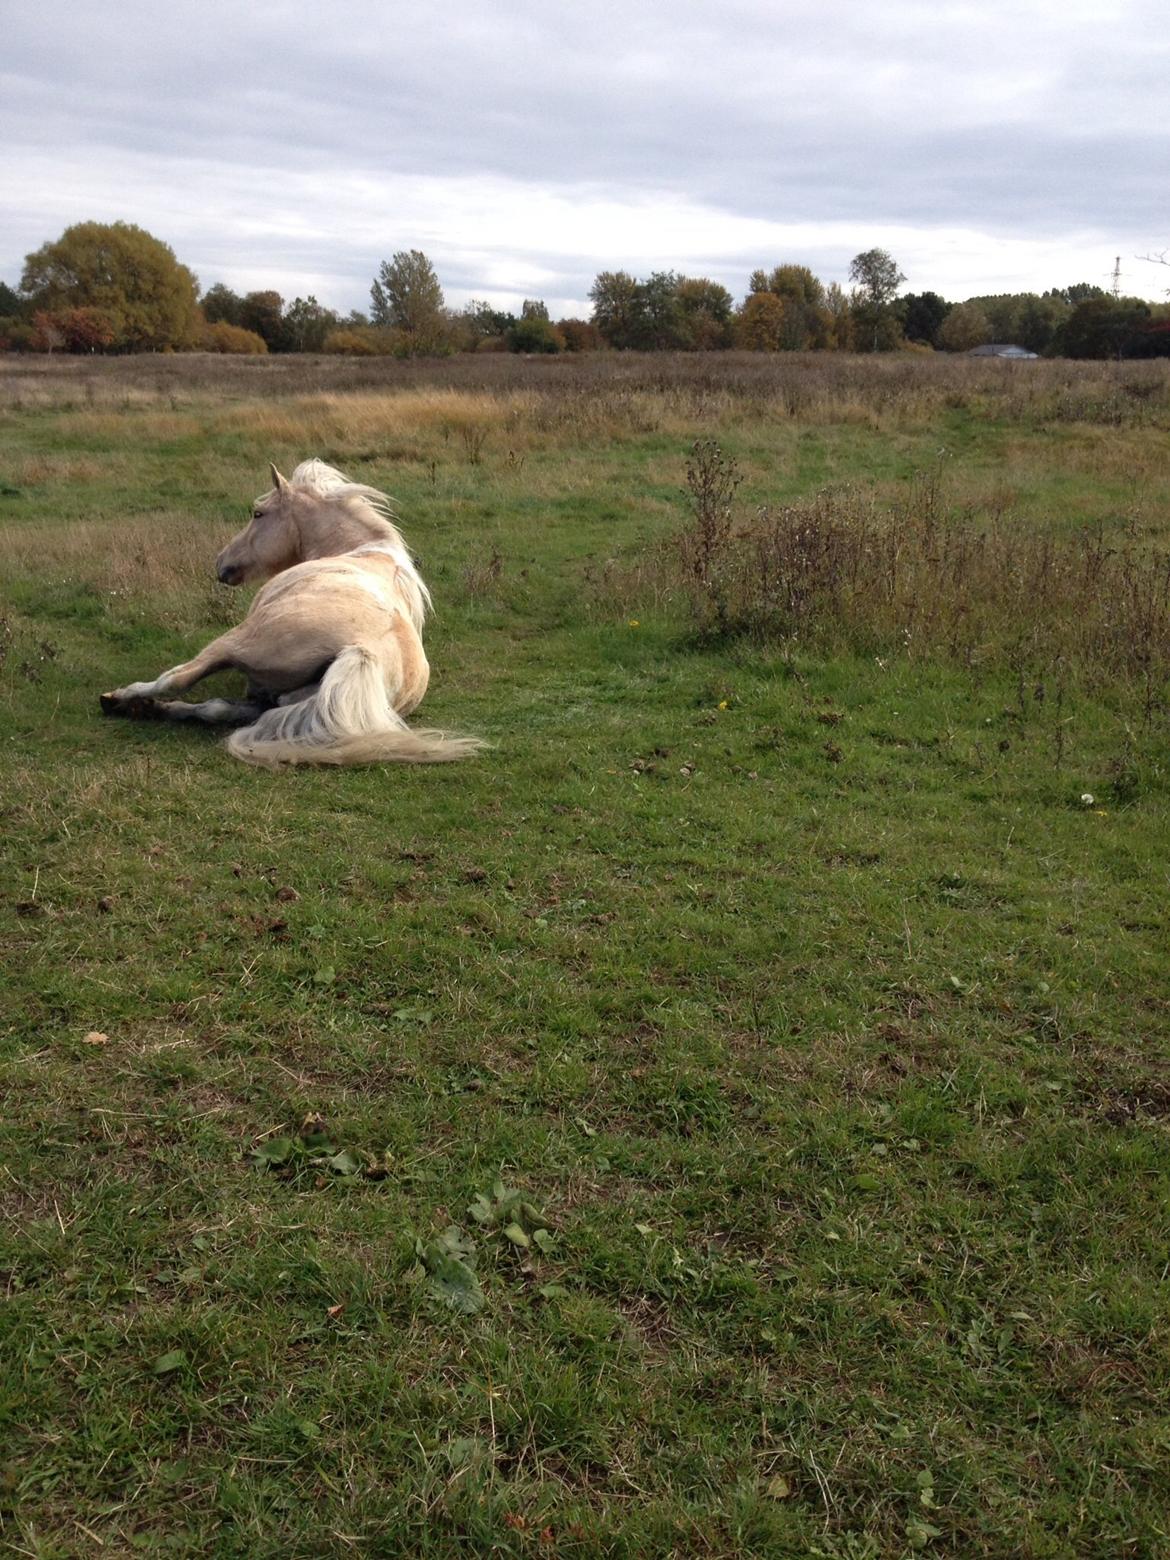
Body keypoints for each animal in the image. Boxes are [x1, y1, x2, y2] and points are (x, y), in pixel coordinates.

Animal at [100, 455, 483, 767]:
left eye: (258, 513)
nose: (221, 563)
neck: (361, 548)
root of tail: (363, 652)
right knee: (219, 708)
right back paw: (150, 710)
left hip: (235, 642)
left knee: (177, 679)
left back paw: (120, 700)